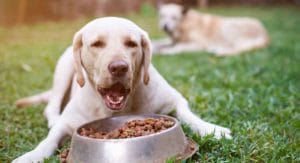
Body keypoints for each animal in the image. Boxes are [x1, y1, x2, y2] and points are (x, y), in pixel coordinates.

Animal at [12, 17, 231, 162]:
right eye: (97, 44)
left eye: (131, 43)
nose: (119, 67)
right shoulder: (68, 123)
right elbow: (49, 140)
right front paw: (31, 155)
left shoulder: (175, 99)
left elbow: (189, 115)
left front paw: (212, 129)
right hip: (64, 69)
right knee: (51, 107)